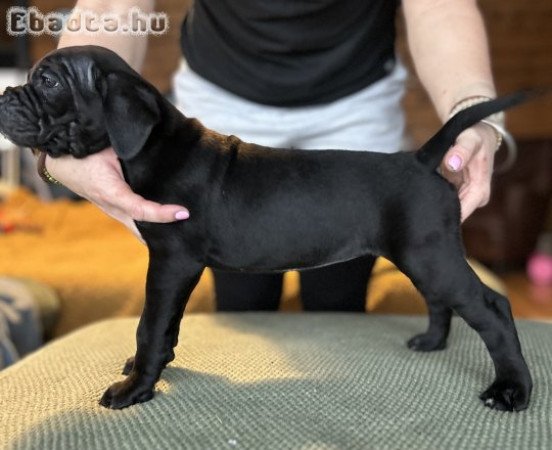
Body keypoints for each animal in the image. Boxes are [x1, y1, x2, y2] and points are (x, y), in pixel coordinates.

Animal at [0, 45, 536, 412]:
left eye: (48, 82)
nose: (3, 95)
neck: (157, 143)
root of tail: (423, 158)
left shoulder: (172, 261)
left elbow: (150, 323)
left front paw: (136, 387)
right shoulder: (177, 267)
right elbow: (165, 324)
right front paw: (151, 367)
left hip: (429, 253)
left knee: (493, 307)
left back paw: (512, 390)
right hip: (420, 254)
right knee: (441, 300)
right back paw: (431, 342)